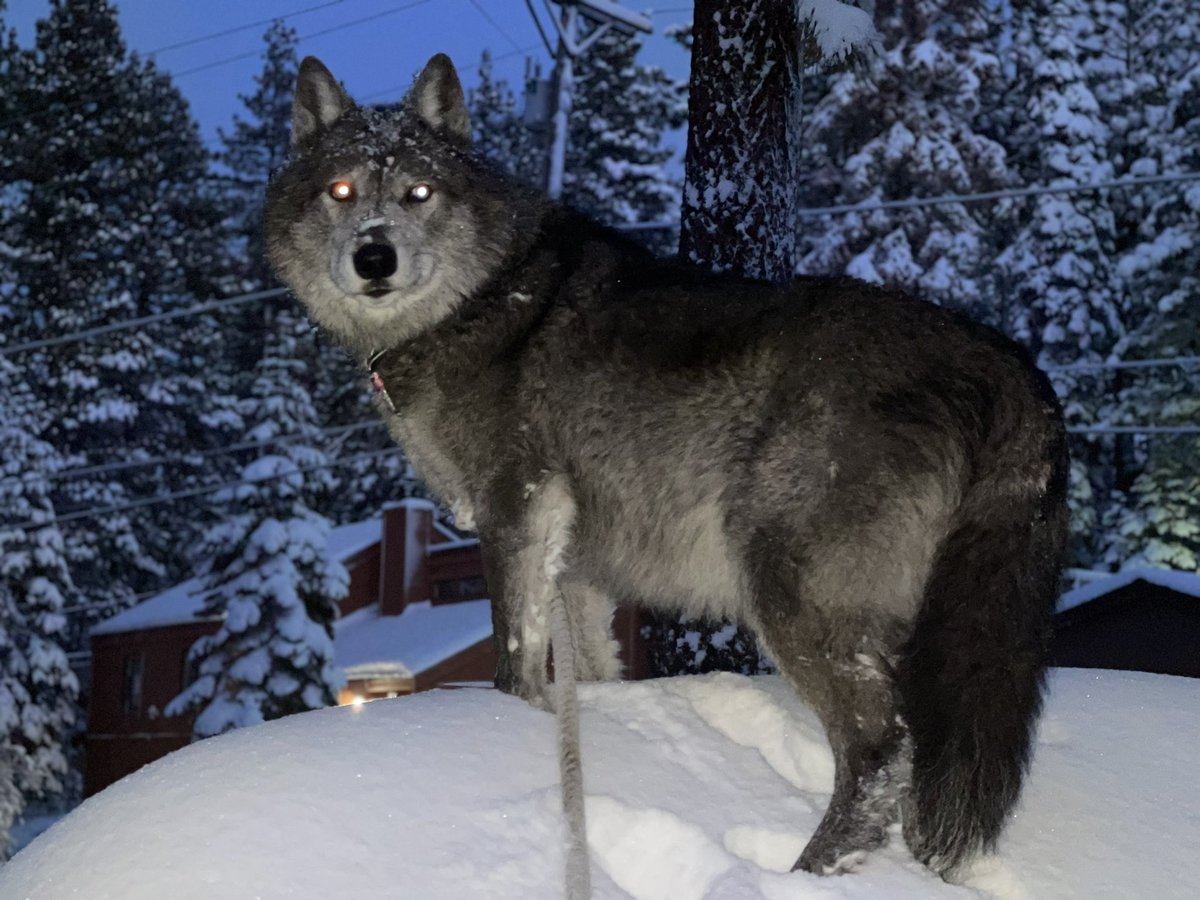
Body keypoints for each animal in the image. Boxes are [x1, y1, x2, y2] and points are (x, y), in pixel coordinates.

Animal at [265, 53, 1069, 886]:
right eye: (342, 191)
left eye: (417, 193)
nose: (374, 258)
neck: (480, 299)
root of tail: (1005, 365)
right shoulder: (573, 566)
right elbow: (588, 672)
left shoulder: (516, 511)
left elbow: (513, 660)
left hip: (789, 594)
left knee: (881, 749)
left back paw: (804, 874)